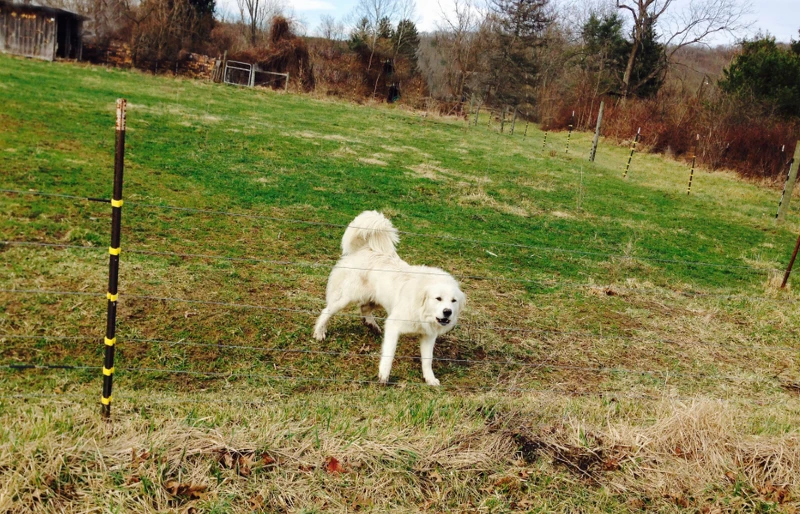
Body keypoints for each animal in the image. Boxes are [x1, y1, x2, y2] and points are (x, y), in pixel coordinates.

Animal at [312, 209, 462, 384]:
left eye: (453, 301)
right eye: (438, 298)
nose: (447, 312)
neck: (421, 306)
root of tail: (365, 248)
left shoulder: (428, 336)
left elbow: (427, 360)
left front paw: (430, 379)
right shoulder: (393, 326)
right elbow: (389, 354)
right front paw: (384, 376)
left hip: (377, 298)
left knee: (364, 308)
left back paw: (372, 325)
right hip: (346, 297)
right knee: (327, 311)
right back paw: (319, 332)